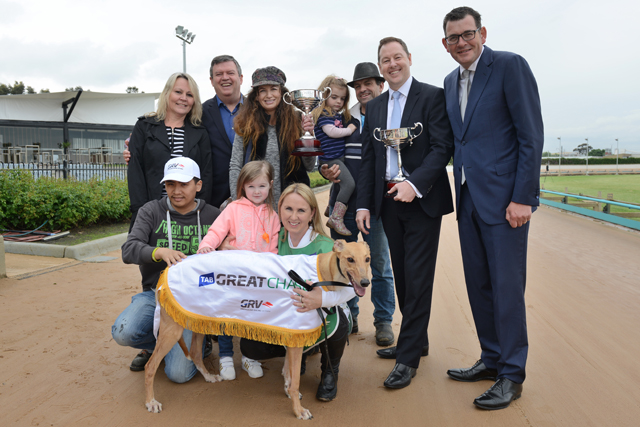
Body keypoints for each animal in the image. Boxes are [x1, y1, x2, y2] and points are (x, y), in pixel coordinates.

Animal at [144, 241, 370, 422]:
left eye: (367, 259)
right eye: (350, 259)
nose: (365, 282)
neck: (321, 273)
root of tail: (167, 271)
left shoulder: (291, 334)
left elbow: (289, 374)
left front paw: (288, 392)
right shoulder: (296, 337)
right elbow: (295, 381)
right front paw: (298, 410)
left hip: (197, 319)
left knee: (196, 354)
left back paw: (208, 377)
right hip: (172, 330)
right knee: (150, 366)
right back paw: (151, 401)